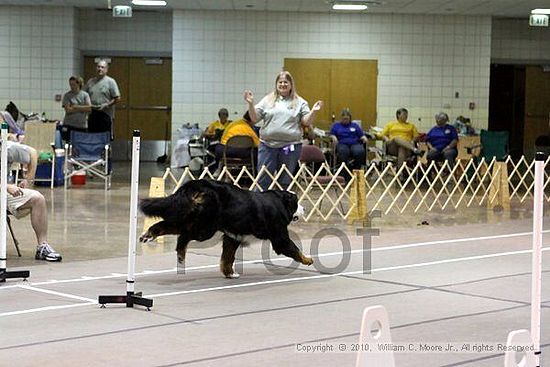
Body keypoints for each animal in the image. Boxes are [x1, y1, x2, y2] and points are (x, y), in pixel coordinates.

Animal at [140, 180, 312, 278]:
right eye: (296, 203)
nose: (304, 209)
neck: (280, 203)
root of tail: (198, 184)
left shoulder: (233, 237)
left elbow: (227, 258)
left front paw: (229, 273)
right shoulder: (279, 236)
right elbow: (294, 249)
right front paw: (308, 260)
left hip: (190, 215)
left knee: (166, 225)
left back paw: (148, 235)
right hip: (204, 227)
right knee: (183, 235)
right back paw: (179, 251)